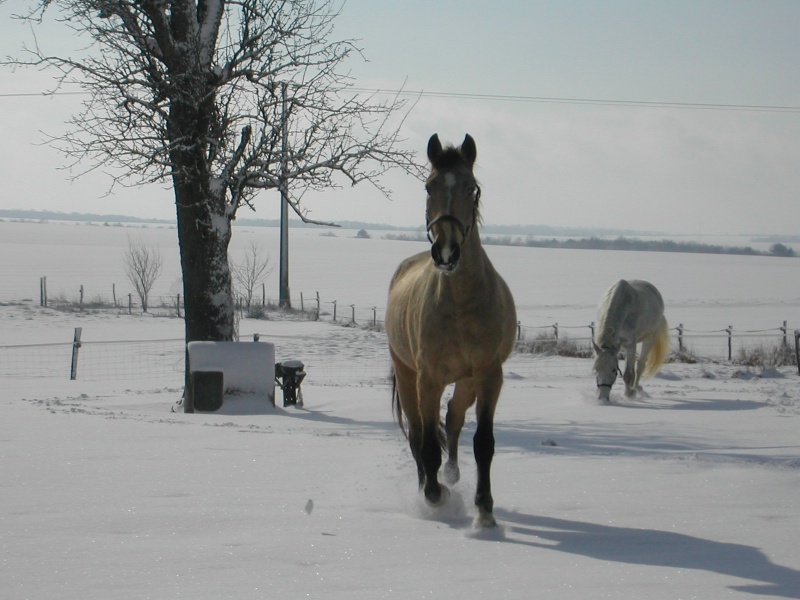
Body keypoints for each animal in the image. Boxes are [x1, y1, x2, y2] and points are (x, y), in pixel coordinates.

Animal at [388, 132, 520, 524]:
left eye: (471, 187)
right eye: (429, 187)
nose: (446, 252)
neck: (460, 302)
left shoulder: (489, 375)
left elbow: (483, 443)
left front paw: (484, 510)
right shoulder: (428, 378)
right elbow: (428, 442)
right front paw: (435, 496)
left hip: (467, 380)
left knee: (454, 416)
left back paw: (451, 474)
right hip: (407, 374)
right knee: (418, 434)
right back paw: (429, 487)